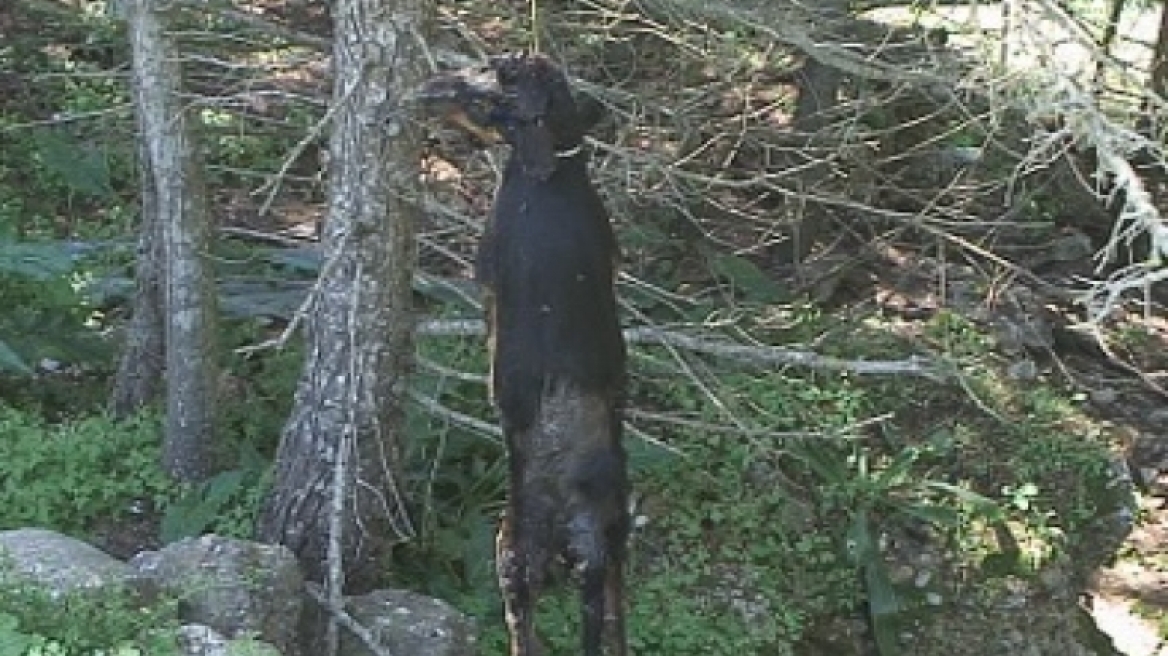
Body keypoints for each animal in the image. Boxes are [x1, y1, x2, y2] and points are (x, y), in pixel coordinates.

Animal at [415, 52, 626, 653]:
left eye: (488, 87)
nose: (427, 89)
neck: (556, 170)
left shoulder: (486, 272)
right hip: (615, 549)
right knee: (613, 618)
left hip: (510, 551)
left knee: (522, 628)